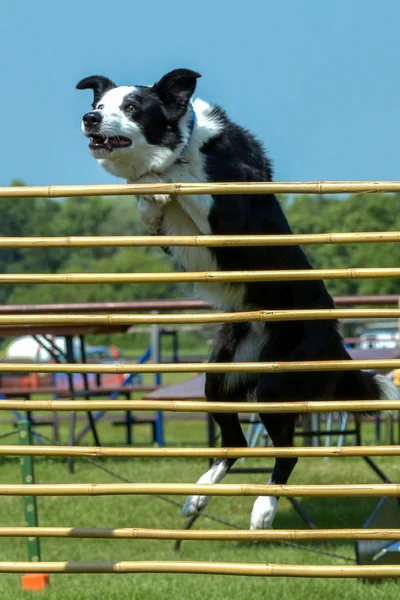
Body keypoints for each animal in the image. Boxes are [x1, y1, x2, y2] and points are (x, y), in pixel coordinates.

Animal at [76, 69, 398, 528]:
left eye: (132, 107)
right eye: (101, 106)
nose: (89, 118)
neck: (184, 145)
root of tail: (335, 333)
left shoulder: (228, 212)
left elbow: (189, 187)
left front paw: (159, 182)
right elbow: (148, 205)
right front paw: (150, 196)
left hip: (276, 384)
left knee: (286, 451)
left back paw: (264, 507)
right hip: (221, 374)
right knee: (236, 441)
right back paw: (199, 495)